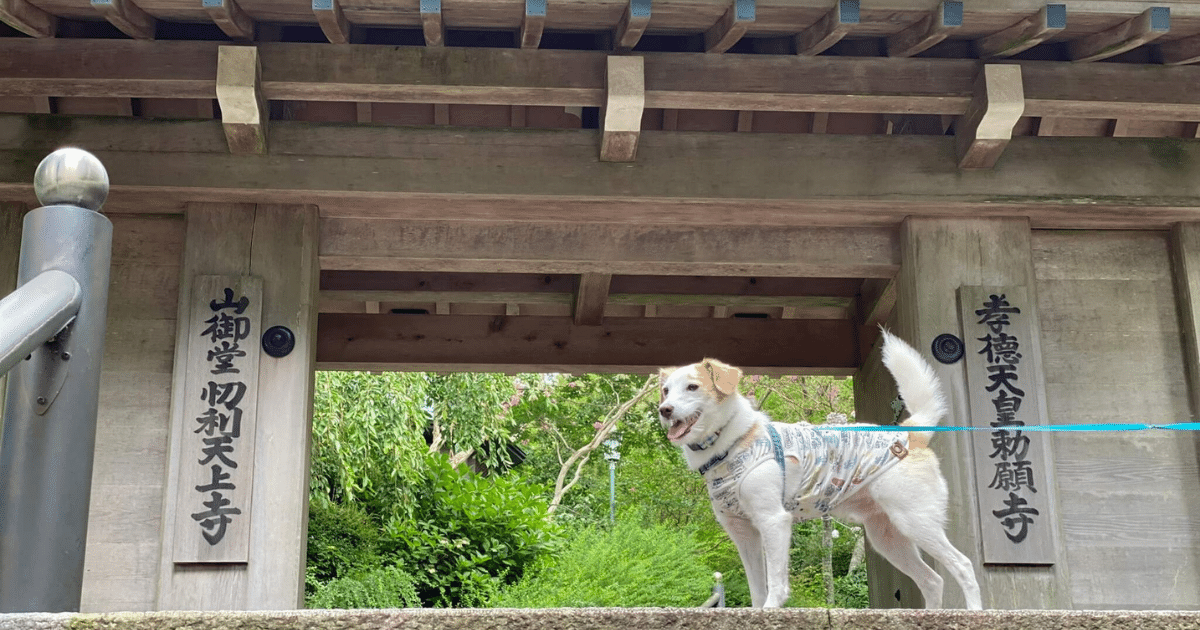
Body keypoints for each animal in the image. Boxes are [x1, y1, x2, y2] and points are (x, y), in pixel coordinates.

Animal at [662, 331, 979, 607]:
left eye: (692, 387)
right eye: (665, 391)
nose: (664, 409)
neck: (733, 441)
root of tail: (909, 434)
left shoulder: (773, 521)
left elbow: (775, 581)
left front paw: (771, 609)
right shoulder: (742, 532)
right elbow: (756, 586)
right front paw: (757, 610)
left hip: (916, 521)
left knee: (963, 566)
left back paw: (975, 610)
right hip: (887, 538)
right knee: (932, 580)